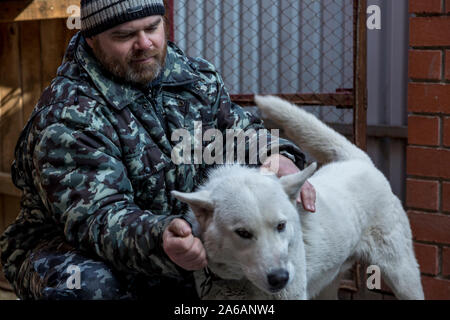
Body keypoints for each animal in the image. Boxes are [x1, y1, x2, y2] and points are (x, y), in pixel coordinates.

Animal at [171, 95, 424, 300]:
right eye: (242, 233)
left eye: (281, 226)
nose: (280, 278)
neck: (242, 281)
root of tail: (359, 160)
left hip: (403, 276)